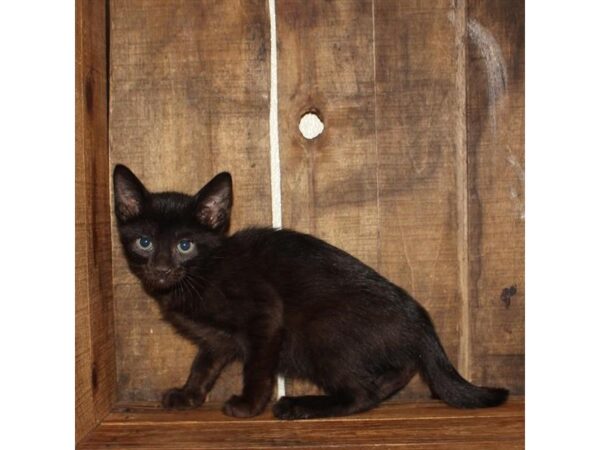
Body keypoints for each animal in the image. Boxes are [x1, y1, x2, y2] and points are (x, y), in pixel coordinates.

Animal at [111, 164, 506, 418]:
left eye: (185, 245)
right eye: (145, 242)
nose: (162, 269)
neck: (203, 272)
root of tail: (420, 319)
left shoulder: (265, 312)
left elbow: (256, 366)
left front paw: (249, 406)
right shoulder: (215, 339)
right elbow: (203, 365)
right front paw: (189, 394)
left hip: (323, 331)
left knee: (359, 393)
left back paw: (298, 406)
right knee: (395, 371)